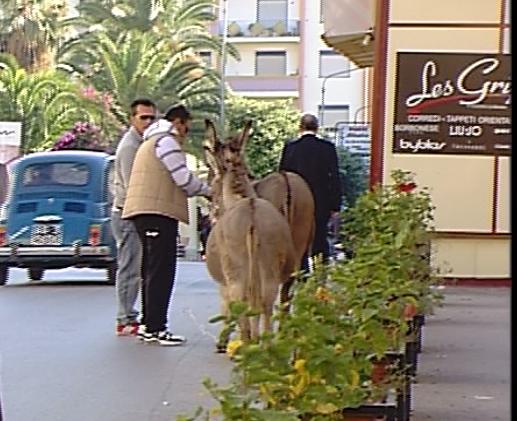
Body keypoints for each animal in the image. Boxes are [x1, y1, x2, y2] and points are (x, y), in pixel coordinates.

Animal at [204, 119, 296, 348]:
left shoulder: (224, 284)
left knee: (245, 311)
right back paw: (264, 347)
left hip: (237, 276)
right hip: (269, 273)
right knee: (264, 308)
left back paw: (247, 347)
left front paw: (223, 341)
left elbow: (227, 308)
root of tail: (252, 218)